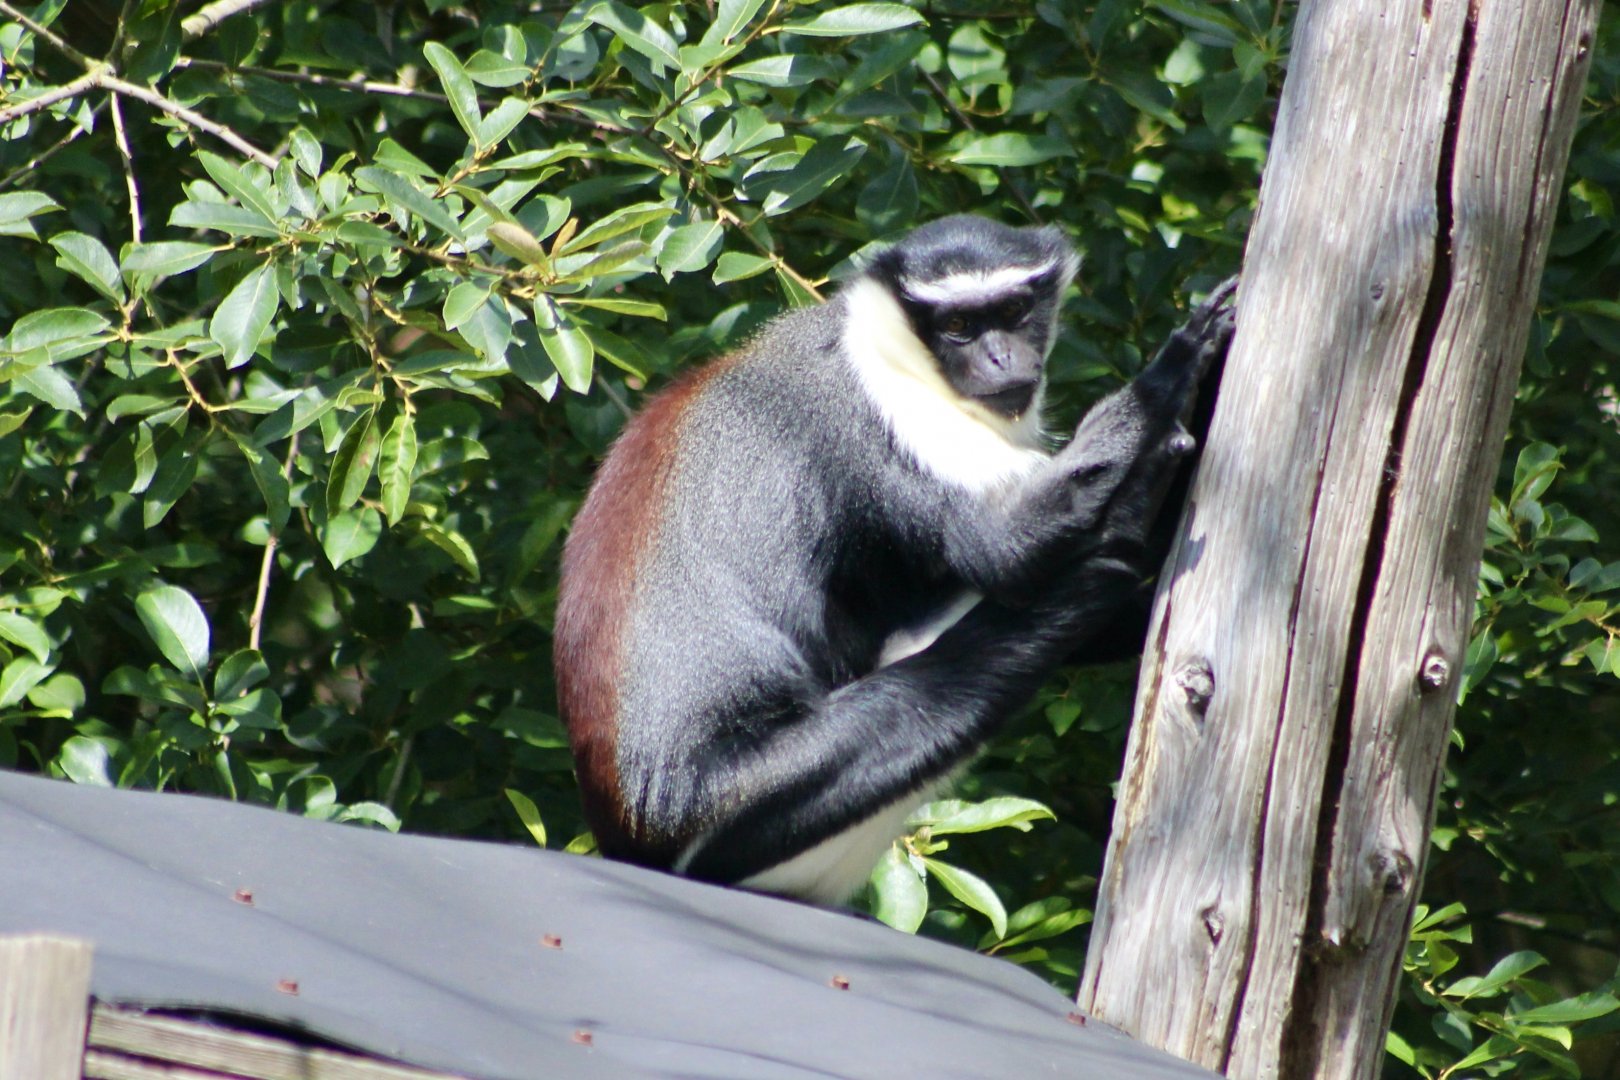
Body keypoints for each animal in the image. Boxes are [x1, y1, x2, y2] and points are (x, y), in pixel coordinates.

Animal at [554, 215, 1235, 905]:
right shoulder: (881, 422)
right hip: (756, 812)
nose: (1000, 357)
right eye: (958, 325)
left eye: (1012, 311)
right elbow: (1007, 546)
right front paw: (1176, 372)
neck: (895, 350)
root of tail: (631, 833)